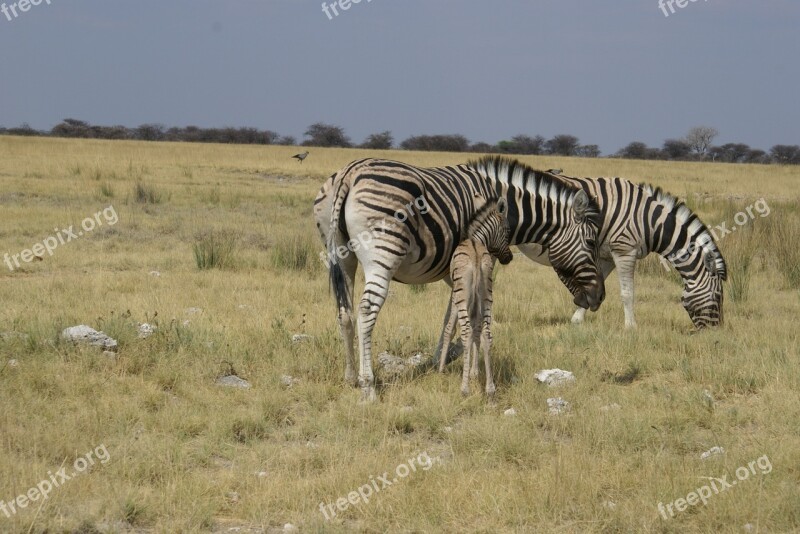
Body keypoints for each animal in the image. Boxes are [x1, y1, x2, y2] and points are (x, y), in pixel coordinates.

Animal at [438, 196, 512, 398]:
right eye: (508, 231)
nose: (509, 258)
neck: (475, 239)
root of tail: (477, 256)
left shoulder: (455, 295)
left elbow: (449, 329)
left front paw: (441, 369)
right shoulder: (477, 299)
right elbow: (477, 332)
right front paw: (474, 371)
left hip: (463, 296)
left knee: (465, 332)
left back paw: (464, 389)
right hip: (487, 294)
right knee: (486, 333)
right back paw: (490, 388)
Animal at [516, 174, 728, 328]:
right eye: (718, 297)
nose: (716, 332)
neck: (648, 221)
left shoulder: (607, 256)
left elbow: (596, 283)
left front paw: (577, 319)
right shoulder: (624, 250)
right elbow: (628, 292)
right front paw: (631, 327)